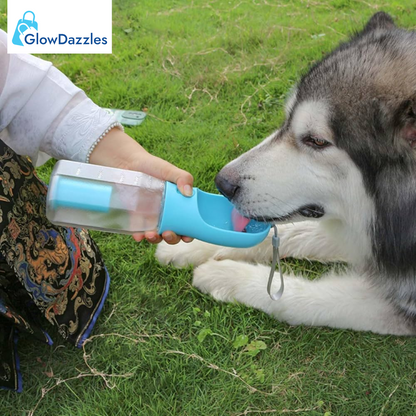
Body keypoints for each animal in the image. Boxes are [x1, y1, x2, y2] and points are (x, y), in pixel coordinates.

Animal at [157, 13, 416, 336]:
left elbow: (309, 300)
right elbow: (296, 233)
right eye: (286, 121)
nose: (223, 183)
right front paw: (196, 245)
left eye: (316, 141)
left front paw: (224, 274)